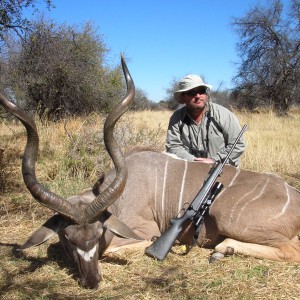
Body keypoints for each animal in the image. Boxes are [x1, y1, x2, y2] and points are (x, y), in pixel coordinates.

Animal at [0, 56, 300, 290]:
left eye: (98, 235)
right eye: (67, 239)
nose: (92, 281)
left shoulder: (143, 231)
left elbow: (125, 246)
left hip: (229, 217)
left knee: (291, 251)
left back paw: (221, 250)